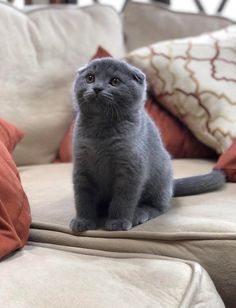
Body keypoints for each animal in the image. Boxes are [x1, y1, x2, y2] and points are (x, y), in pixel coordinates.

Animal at [69, 58, 225, 231]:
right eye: (90, 78)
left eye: (115, 81)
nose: (97, 88)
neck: (100, 129)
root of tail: (171, 185)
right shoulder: (82, 167)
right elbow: (83, 198)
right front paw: (83, 221)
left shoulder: (130, 169)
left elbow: (122, 200)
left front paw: (118, 222)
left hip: (160, 180)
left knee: (158, 207)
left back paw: (138, 214)